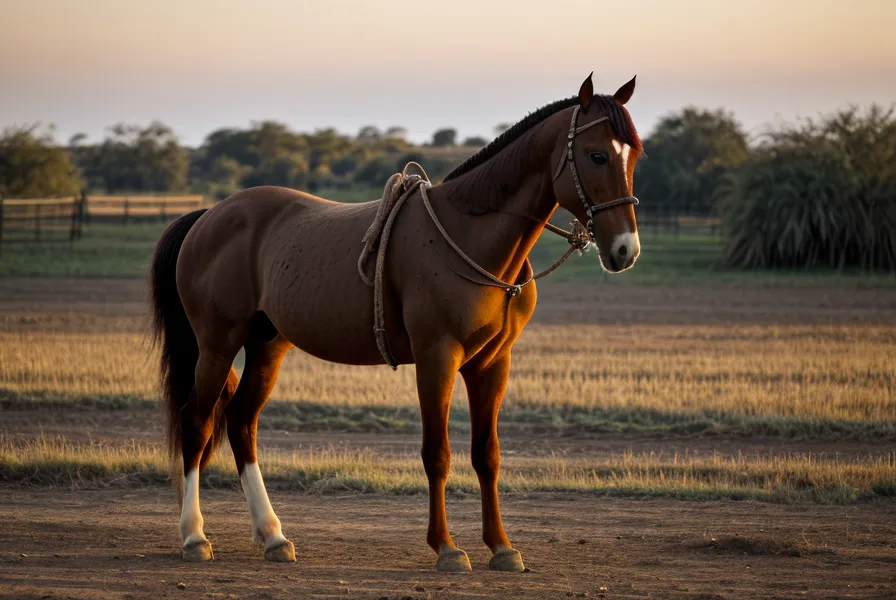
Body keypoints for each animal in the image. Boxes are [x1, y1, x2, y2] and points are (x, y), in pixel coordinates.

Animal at [149, 72, 643, 572]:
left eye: (634, 154)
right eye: (597, 154)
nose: (625, 249)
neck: (469, 236)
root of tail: (208, 216)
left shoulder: (491, 365)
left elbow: (487, 456)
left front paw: (502, 547)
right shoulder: (436, 358)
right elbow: (437, 454)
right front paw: (446, 547)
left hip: (268, 346)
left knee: (240, 423)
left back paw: (272, 536)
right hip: (217, 345)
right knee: (197, 423)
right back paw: (194, 536)